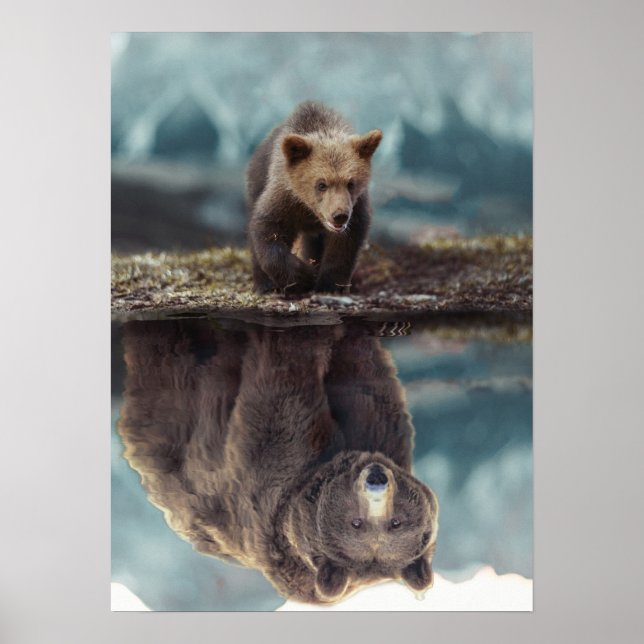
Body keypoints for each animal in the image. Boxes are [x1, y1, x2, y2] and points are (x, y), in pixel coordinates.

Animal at [118, 320, 438, 604]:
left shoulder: (273, 476)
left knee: (164, 367)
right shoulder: (376, 433)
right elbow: (363, 378)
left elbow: (279, 390)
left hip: (170, 433)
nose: (376, 478)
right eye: (357, 523)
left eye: (393, 522)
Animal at [245, 101, 382, 294]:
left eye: (351, 183)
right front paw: (303, 277)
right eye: (321, 184)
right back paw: (263, 284)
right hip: (257, 181)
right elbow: (269, 229)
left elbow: (344, 246)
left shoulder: (356, 208)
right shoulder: (285, 198)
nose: (339, 215)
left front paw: (330, 285)